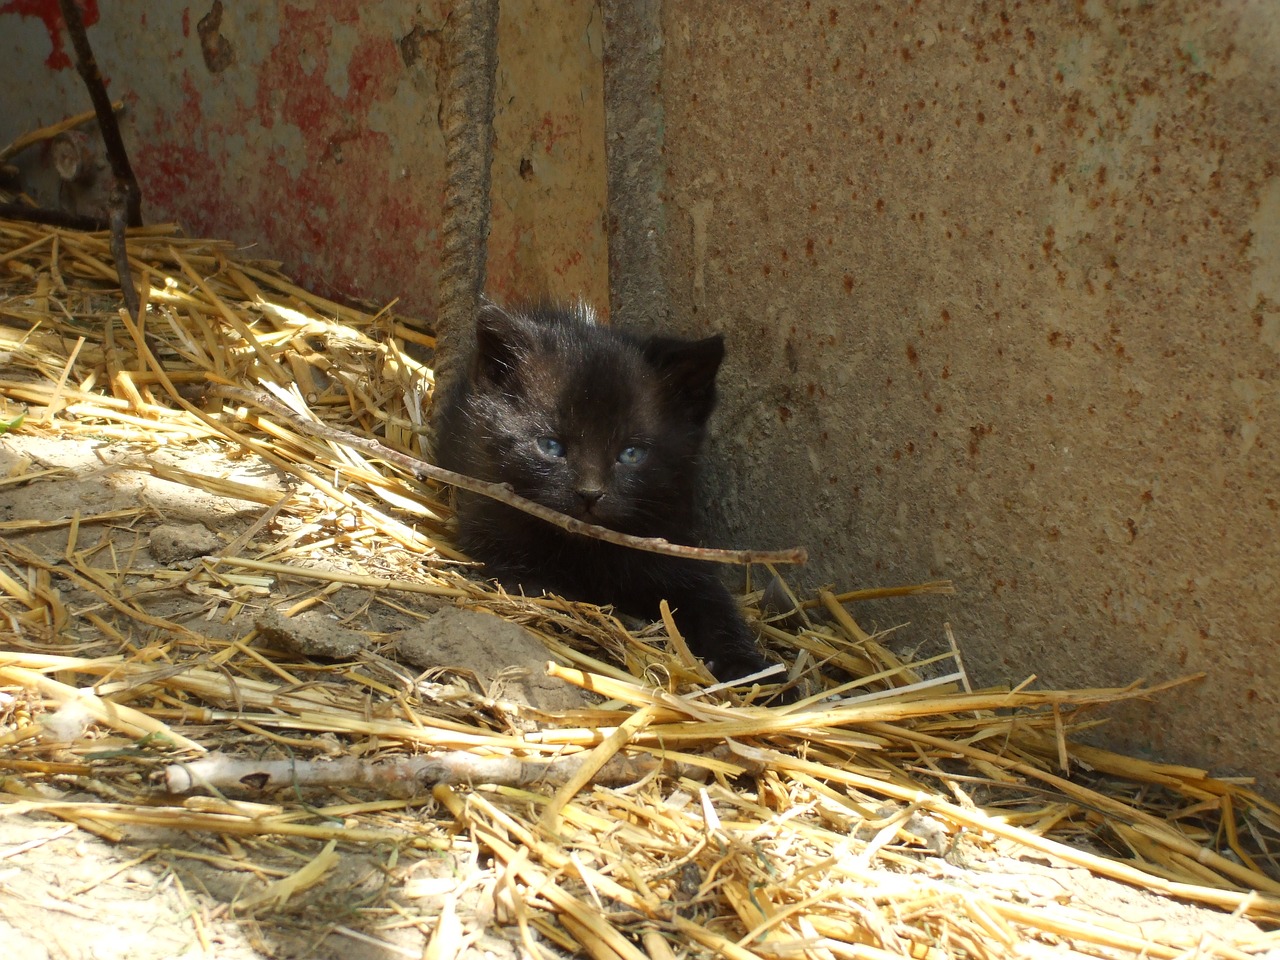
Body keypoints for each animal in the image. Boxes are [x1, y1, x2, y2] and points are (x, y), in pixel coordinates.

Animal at [430, 300, 768, 686]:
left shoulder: (675, 543)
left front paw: (748, 667)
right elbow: (558, 593)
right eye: (550, 446)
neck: (590, 551)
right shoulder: (494, 534)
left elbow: (713, 603)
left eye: (632, 454)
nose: (590, 494)